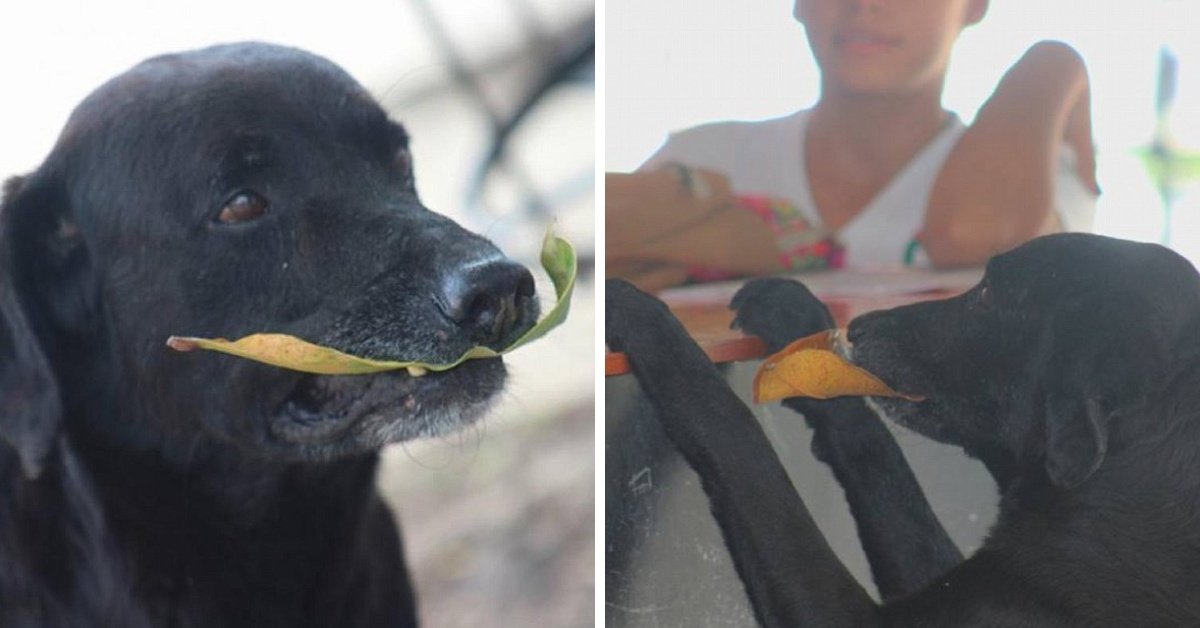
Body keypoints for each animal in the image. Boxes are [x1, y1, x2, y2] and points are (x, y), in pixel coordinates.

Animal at [609, 235, 1200, 628]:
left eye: (989, 294)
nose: (860, 326)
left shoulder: (847, 617)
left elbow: (746, 450)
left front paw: (648, 320)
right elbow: (881, 460)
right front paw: (799, 318)